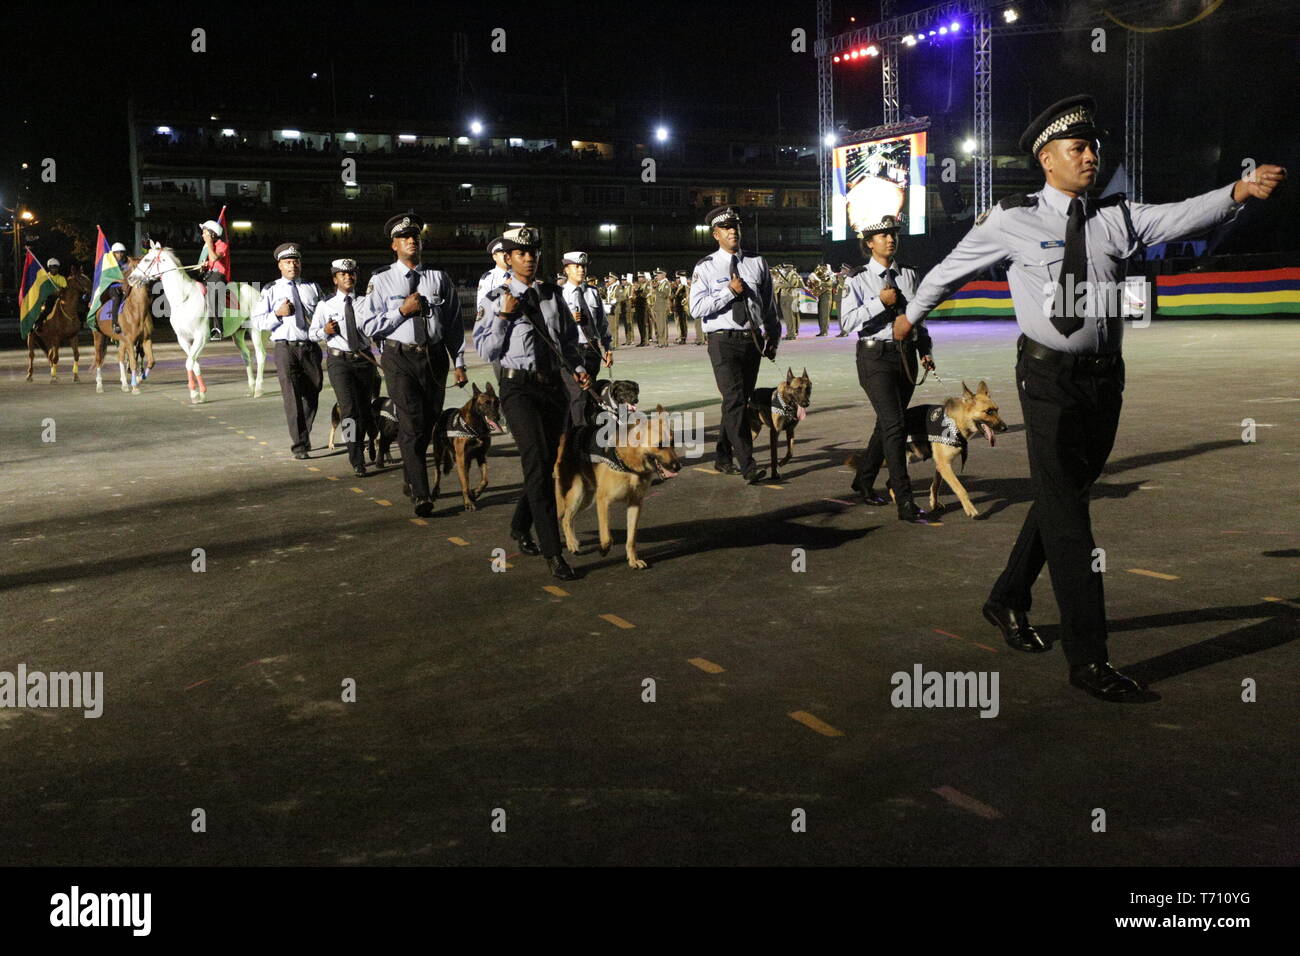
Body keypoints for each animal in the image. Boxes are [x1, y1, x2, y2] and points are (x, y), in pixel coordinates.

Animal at [89, 257, 155, 392]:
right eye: (133, 267)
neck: (137, 310)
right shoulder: (130, 340)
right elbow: (133, 362)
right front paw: (135, 387)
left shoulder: (145, 339)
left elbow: (151, 361)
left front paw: (139, 379)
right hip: (98, 336)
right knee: (98, 359)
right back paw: (99, 386)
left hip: (121, 340)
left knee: (120, 358)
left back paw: (124, 384)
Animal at [131, 243, 269, 403]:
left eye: (147, 260)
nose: (131, 278)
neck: (184, 299)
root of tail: (256, 292)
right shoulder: (184, 340)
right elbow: (194, 363)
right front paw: (200, 393)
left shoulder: (201, 338)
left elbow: (189, 363)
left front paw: (194, 393)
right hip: (238, 333)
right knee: (246, 355)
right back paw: (251, 388)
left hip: (255, 330)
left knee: (260, 355)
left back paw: (258, 389)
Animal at [553, 403, 686, 567]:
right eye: (660, 445)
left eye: (672, 443)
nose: (678, 467)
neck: (631, 462)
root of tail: (567, 435)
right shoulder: (603, 501)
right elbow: (607, 535)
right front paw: (603, 548)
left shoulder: (635, 505)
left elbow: (631, 538)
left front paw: (633, 559)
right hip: (577, 495)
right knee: (565, 518)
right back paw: (572, 543)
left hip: (585, 499)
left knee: (569, 517)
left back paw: (573, 541)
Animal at [899, 377, 1008, 520]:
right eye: (988, 411)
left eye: (997, 410)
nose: (1005, 428)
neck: (955, 422)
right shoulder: (944, 465)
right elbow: (960, 489)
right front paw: (970, 509)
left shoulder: (941, 465)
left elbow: (935, 485)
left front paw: (934, 504)